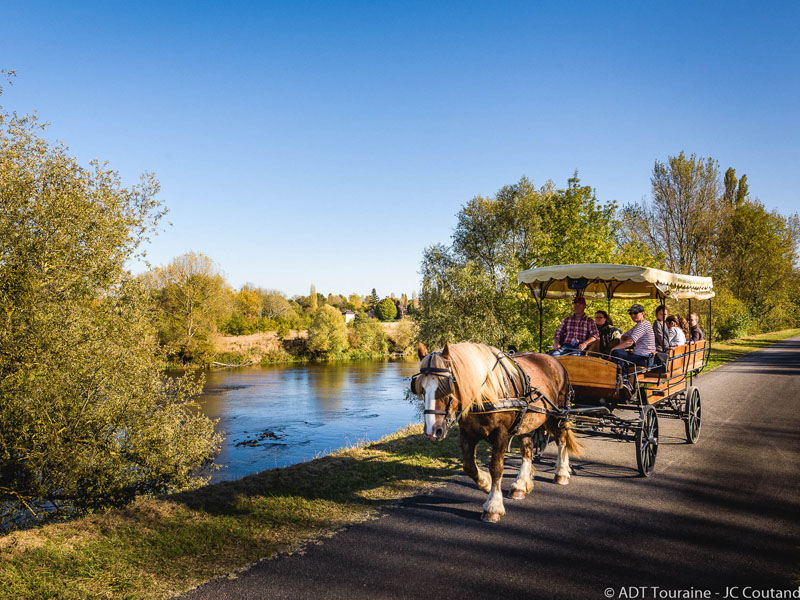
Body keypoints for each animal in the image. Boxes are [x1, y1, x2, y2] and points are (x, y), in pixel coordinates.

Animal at [412, 342, 580, 520]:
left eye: (446, 386)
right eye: (421, 388)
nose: (432, 430)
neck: (485, 393)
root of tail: (554, 361)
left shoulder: (501, 434)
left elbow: (496, 467)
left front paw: (493, 505)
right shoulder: (467, 433)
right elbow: (469, 466)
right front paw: (486, 483)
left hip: (556, 415)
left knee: (562, 440)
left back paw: (562, 473)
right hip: (524, 422)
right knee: (527, 449)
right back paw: (520, 485)